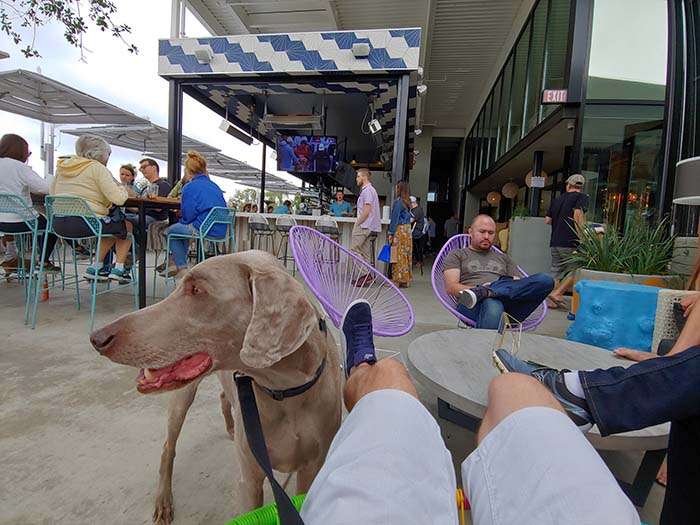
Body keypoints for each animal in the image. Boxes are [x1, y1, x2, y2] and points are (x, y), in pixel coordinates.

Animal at [90, 252, 342, 520]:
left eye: (197, 290)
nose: (97, 338)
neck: (284, 391)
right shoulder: (249, 480)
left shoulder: (311, 470)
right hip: (182, 398)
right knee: (168, 447)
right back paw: (164, 500)